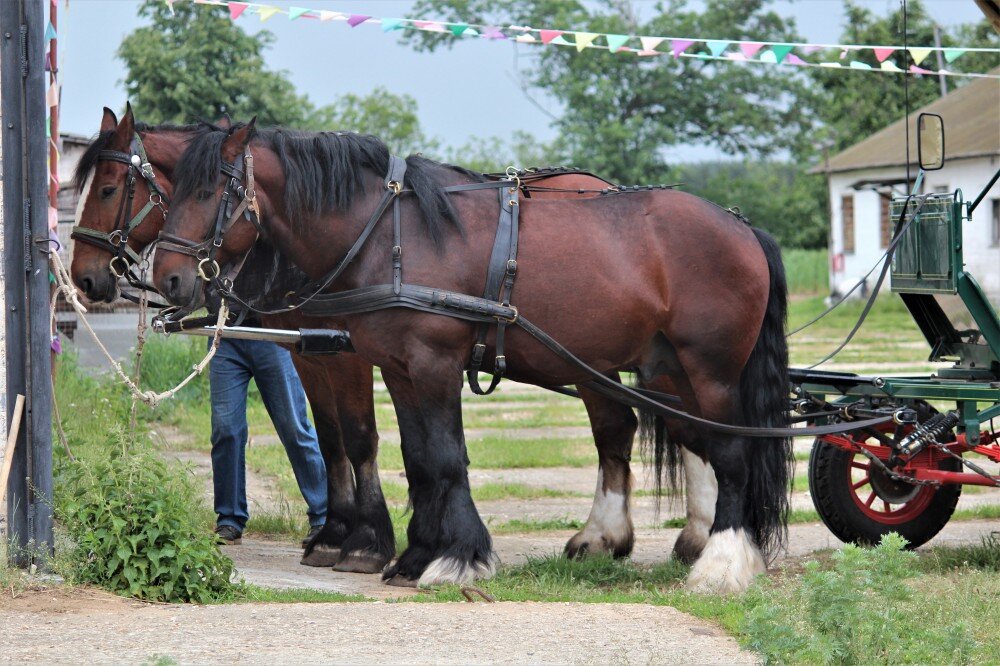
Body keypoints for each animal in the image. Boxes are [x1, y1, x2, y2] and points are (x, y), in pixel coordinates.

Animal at [70, 105, 664, 572]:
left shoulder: (347, 353)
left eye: (108, 189)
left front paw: (364, 542)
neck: (362, 232)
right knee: (621, 427)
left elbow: (360, 438)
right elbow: (334, 440)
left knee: (621, 426)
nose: (85, 278)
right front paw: (339, 534)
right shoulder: (311, 354)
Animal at [152, 120, 792, 592]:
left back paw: (722, 561)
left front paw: (458, 557)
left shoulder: (433, 363)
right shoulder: (399, 369)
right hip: (664, 371)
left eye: (209, 191)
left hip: (709, 371)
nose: (168, 278)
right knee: (683, 440)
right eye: (169, 191)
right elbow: (417, 459)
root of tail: (742, 227)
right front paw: (415, 555)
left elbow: (444, 457)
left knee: (730, 452)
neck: (387, 232)